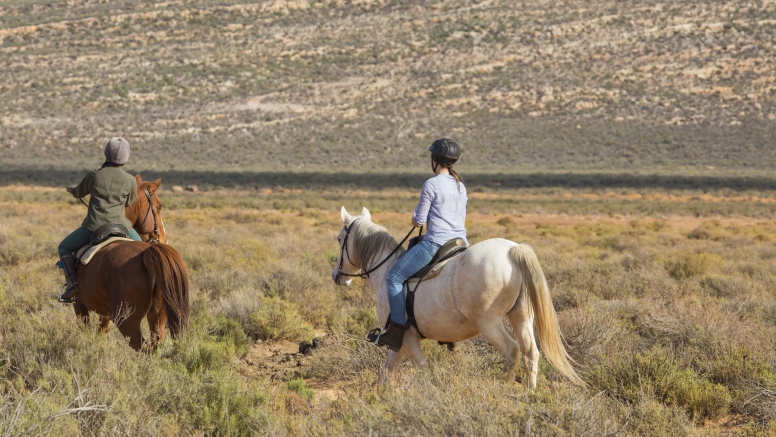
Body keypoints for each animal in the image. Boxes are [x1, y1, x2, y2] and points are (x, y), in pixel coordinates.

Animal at [73, 175, 189, 350]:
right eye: (159, 207)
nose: (163, 237)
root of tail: (147, 253)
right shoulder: (104, 311)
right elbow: (101, 331)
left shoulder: (79, 304)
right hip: (157, 316)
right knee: (155, 343)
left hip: (127, 321)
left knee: (143, 347)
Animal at [332, 206, 584, 386]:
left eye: (339, 239)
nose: (337, 276)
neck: (385, 270)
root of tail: (513, 250)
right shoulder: (399, 343)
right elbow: (385, 374)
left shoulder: (407, 338)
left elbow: (422, 369)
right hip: (521, 316)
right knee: (531, 353)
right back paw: (529, 395)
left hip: (489, 323)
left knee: (511, 350)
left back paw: (506, 390)